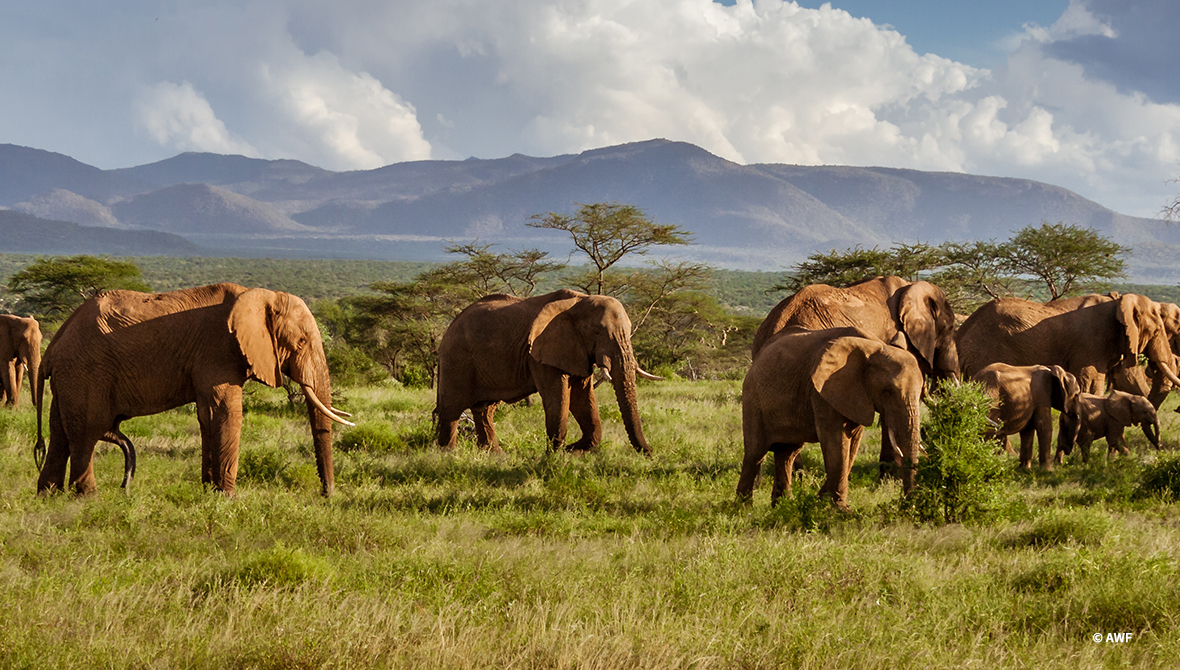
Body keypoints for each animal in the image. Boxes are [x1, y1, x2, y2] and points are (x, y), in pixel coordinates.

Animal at [33, 283, 349, 497]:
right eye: (301, 343)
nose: (326, 495)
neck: (258, 295)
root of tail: (52, 347)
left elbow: (208, 417)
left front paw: (209, 492)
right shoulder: (218, 351)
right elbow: (225, 413)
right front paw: (229, 498)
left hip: (70, 379)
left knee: (60, 434)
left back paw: (49, 497)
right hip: (85, 373)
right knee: (87, 432)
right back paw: (89, 498)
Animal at [434, 288, 660, 455]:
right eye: (596, 332)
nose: (650, 453)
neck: (579, 302)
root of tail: (452, 324)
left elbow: (582, 397)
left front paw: (572, 450)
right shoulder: (540, 353)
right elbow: (558, 397)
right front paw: (554, 455)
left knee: (484, 409)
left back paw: (495, 455)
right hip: (456, 359)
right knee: (452, 410)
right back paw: (447, 455)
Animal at [736, 327, 920, 509]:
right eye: (888, 391)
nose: (906, 503)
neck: (874, 346)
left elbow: (853, 444)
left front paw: (822, 500)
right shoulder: (823, 392)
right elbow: (836, 440)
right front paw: (839, 509)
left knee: (787, 453)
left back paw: (783, 506)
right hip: (753, 399)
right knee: (755, 453)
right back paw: (743, 508)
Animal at [958, 291, 1180, 396]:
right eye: (1157, 331)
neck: (1119, 300)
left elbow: (1127, 379)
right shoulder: (1092, 343)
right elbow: (1090, 384)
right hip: (984, 352)